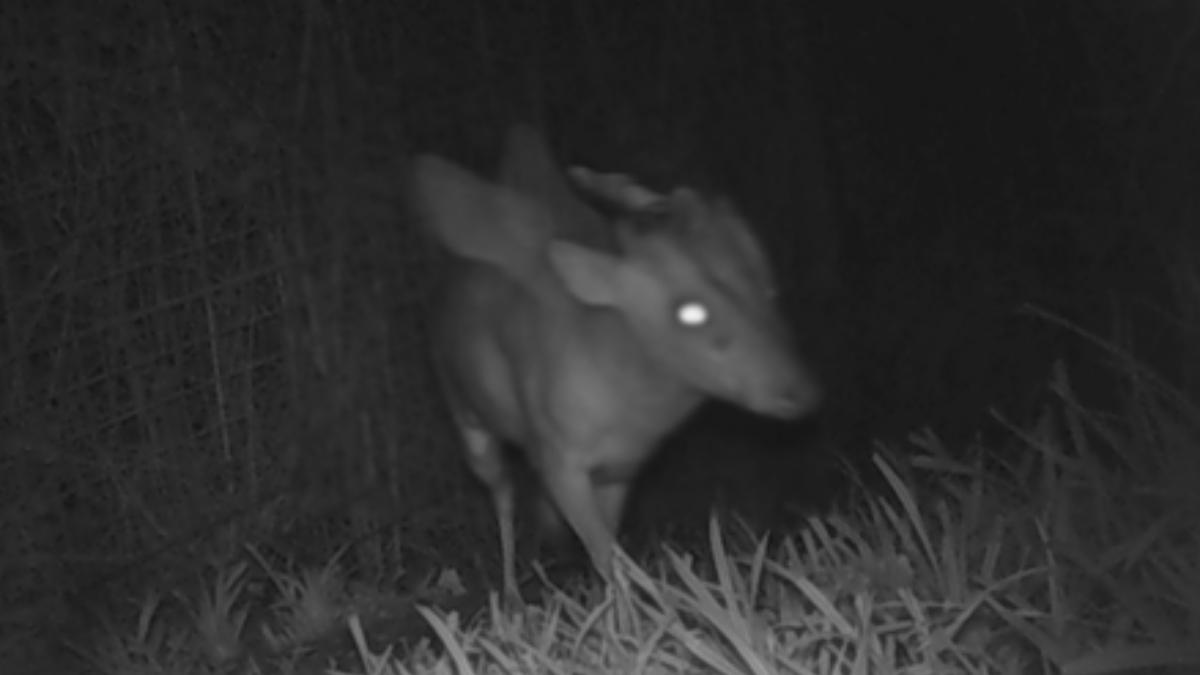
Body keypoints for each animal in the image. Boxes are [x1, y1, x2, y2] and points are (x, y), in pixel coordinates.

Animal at [410, 126, 816, 605]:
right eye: (690, 311)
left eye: (768, 285)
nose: (800, 391)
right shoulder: (562, 459)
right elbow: (607, 555)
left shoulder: (621, 470)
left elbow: (609, 552)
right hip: (468, 418)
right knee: (502, 492)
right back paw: (509, 591)